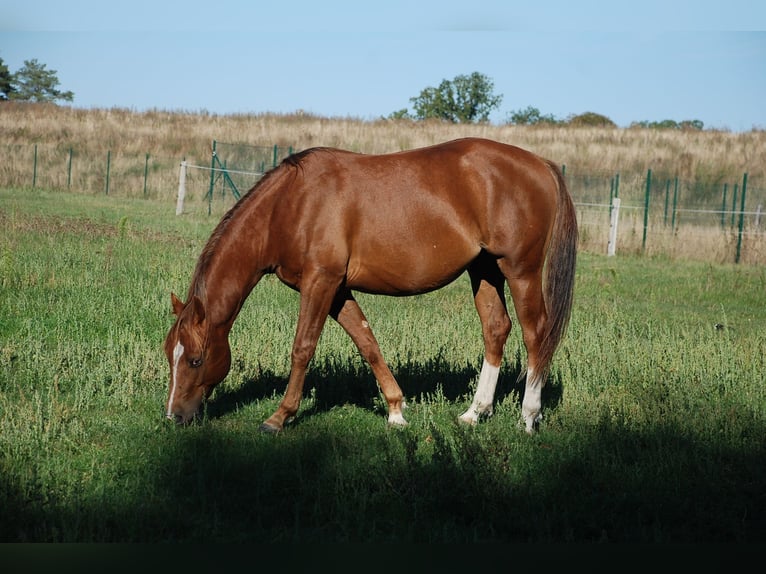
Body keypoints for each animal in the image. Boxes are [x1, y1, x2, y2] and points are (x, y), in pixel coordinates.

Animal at [163, 137, 578, 433]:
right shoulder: (336, 290)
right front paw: (395, 410)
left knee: (535, 334)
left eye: (196, 359)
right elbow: (367, 342)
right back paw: (475, 412)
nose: (173, 417)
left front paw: (279, 417)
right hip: (485, 269)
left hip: (520, 270)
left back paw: (529, 416)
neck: (292, 204)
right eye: (171, 355)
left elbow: (302, 348)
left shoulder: (321, 282)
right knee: (496, 329)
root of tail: (541, 164)